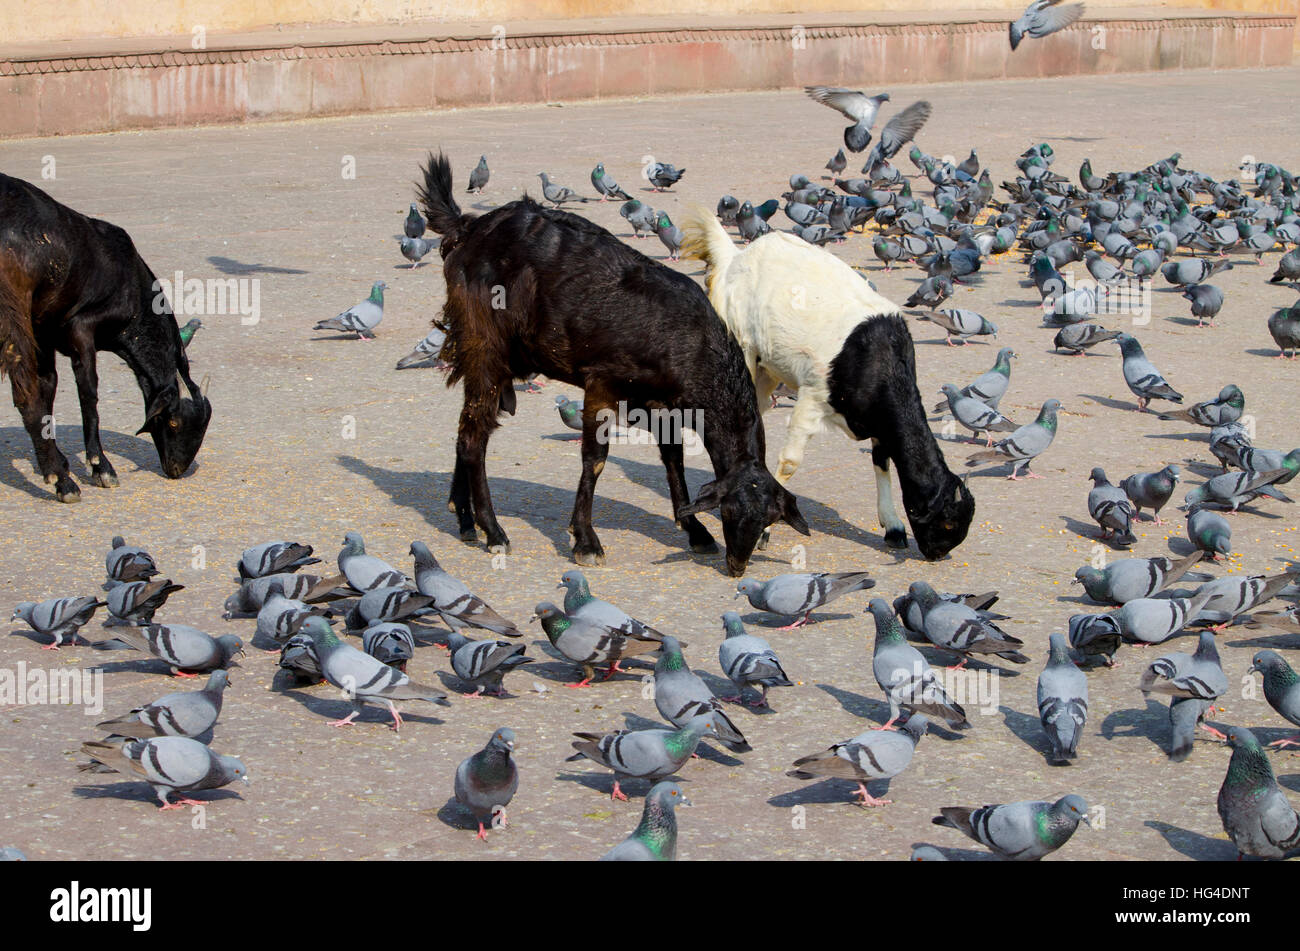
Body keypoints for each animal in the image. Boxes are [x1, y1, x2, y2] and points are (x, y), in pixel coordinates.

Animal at [0, 174, 210, 501]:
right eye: (173, 421)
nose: (176, 469)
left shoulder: (43, 332)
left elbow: (49, 386)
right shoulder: (81, 330)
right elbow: (87, 392)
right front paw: (99, 466)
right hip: (12, 317)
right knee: (26, 396)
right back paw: (63, 482)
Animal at [418, 148, 800, 571]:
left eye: (768, 519)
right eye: (730, 510)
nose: (737, 566)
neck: (687, 339)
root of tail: (466, 229)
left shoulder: (660, 403)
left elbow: (674, 459)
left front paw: (696, 532)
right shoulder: (601, 383)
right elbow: (595, 458)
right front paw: (585, 540)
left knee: (469, 428)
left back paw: (465, 518)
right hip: (483, 347)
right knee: (474, 438)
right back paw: (494, 531)